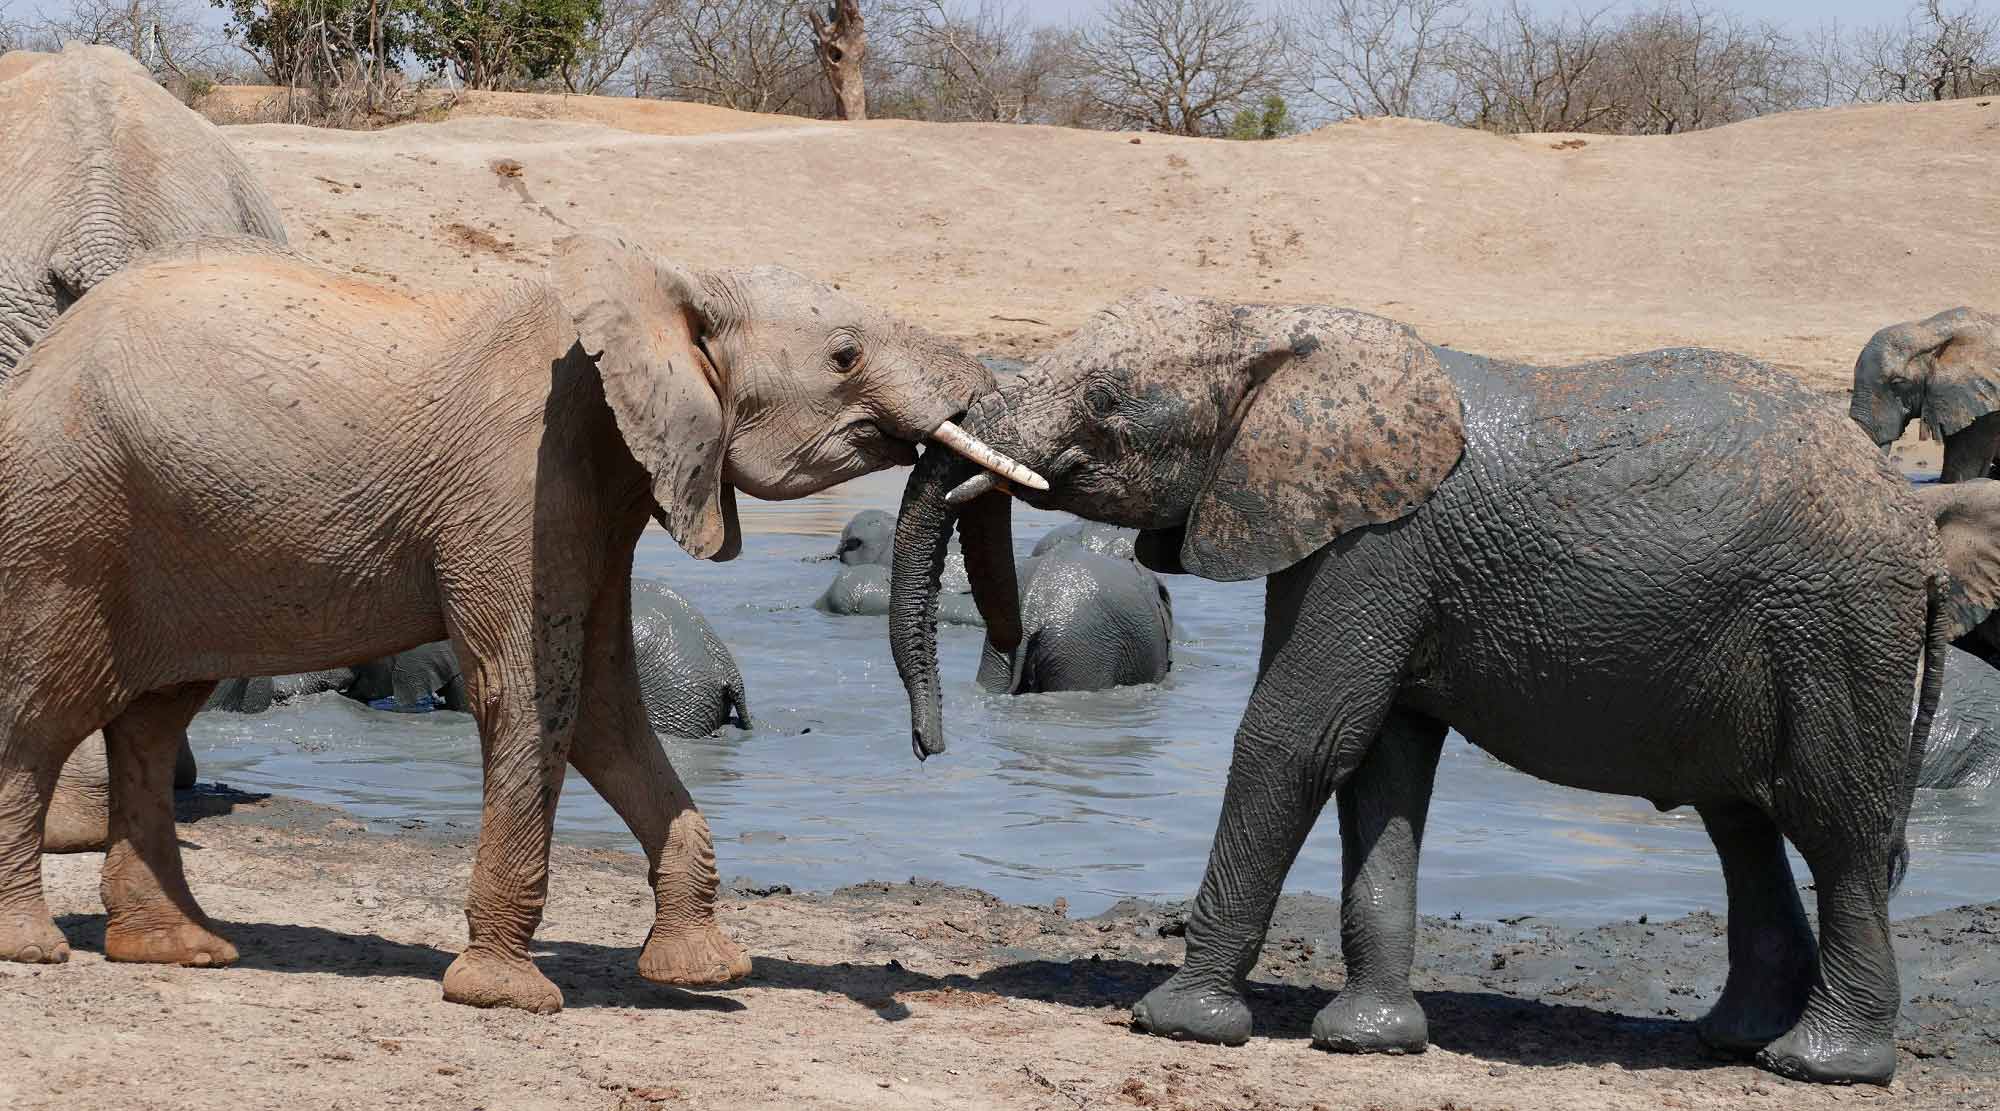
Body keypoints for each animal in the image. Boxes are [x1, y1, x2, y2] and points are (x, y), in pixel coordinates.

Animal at [0, 234, 1032, 1015]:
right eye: (846, 355)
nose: (930, 749)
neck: (665, 282)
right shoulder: (519, 482)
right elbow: (536, 695)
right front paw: (508, 997)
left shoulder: (599, 489)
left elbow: (608, 704)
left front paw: (706, 971)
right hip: (71, 514)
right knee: (45, 712)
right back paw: (35, 948)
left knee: (151, 718)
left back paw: (181, 949)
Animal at [884, 287, 1960, 1087]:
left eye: (1106, 398)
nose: (930, 747)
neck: (1281, 327)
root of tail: (1923, 542)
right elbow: (1381, 765)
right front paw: (1368, 1040)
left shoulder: (1375, 545)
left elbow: (1298, 736)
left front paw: (1177, 1023)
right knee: (1740, 821)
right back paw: (1731, 1041)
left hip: (1836, 625)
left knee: (1834, 825)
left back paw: (1819, 1065)